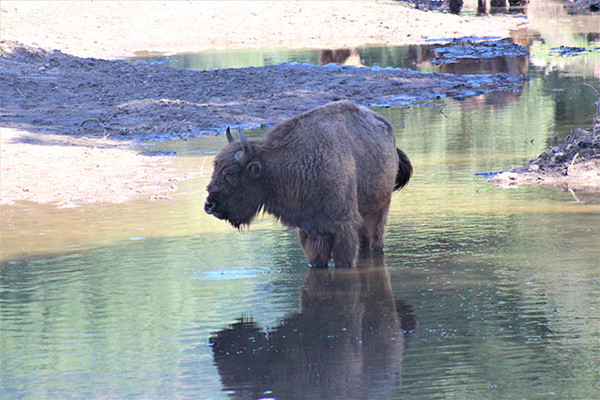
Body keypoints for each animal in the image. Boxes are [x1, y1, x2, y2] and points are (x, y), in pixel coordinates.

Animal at [204, 101, 410, 268]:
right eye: (215, 168)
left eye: (230, 173)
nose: (209, 205)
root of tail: (389, 133)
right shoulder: (310, 230)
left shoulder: (343, 227)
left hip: (381, 207)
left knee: (376, 239)